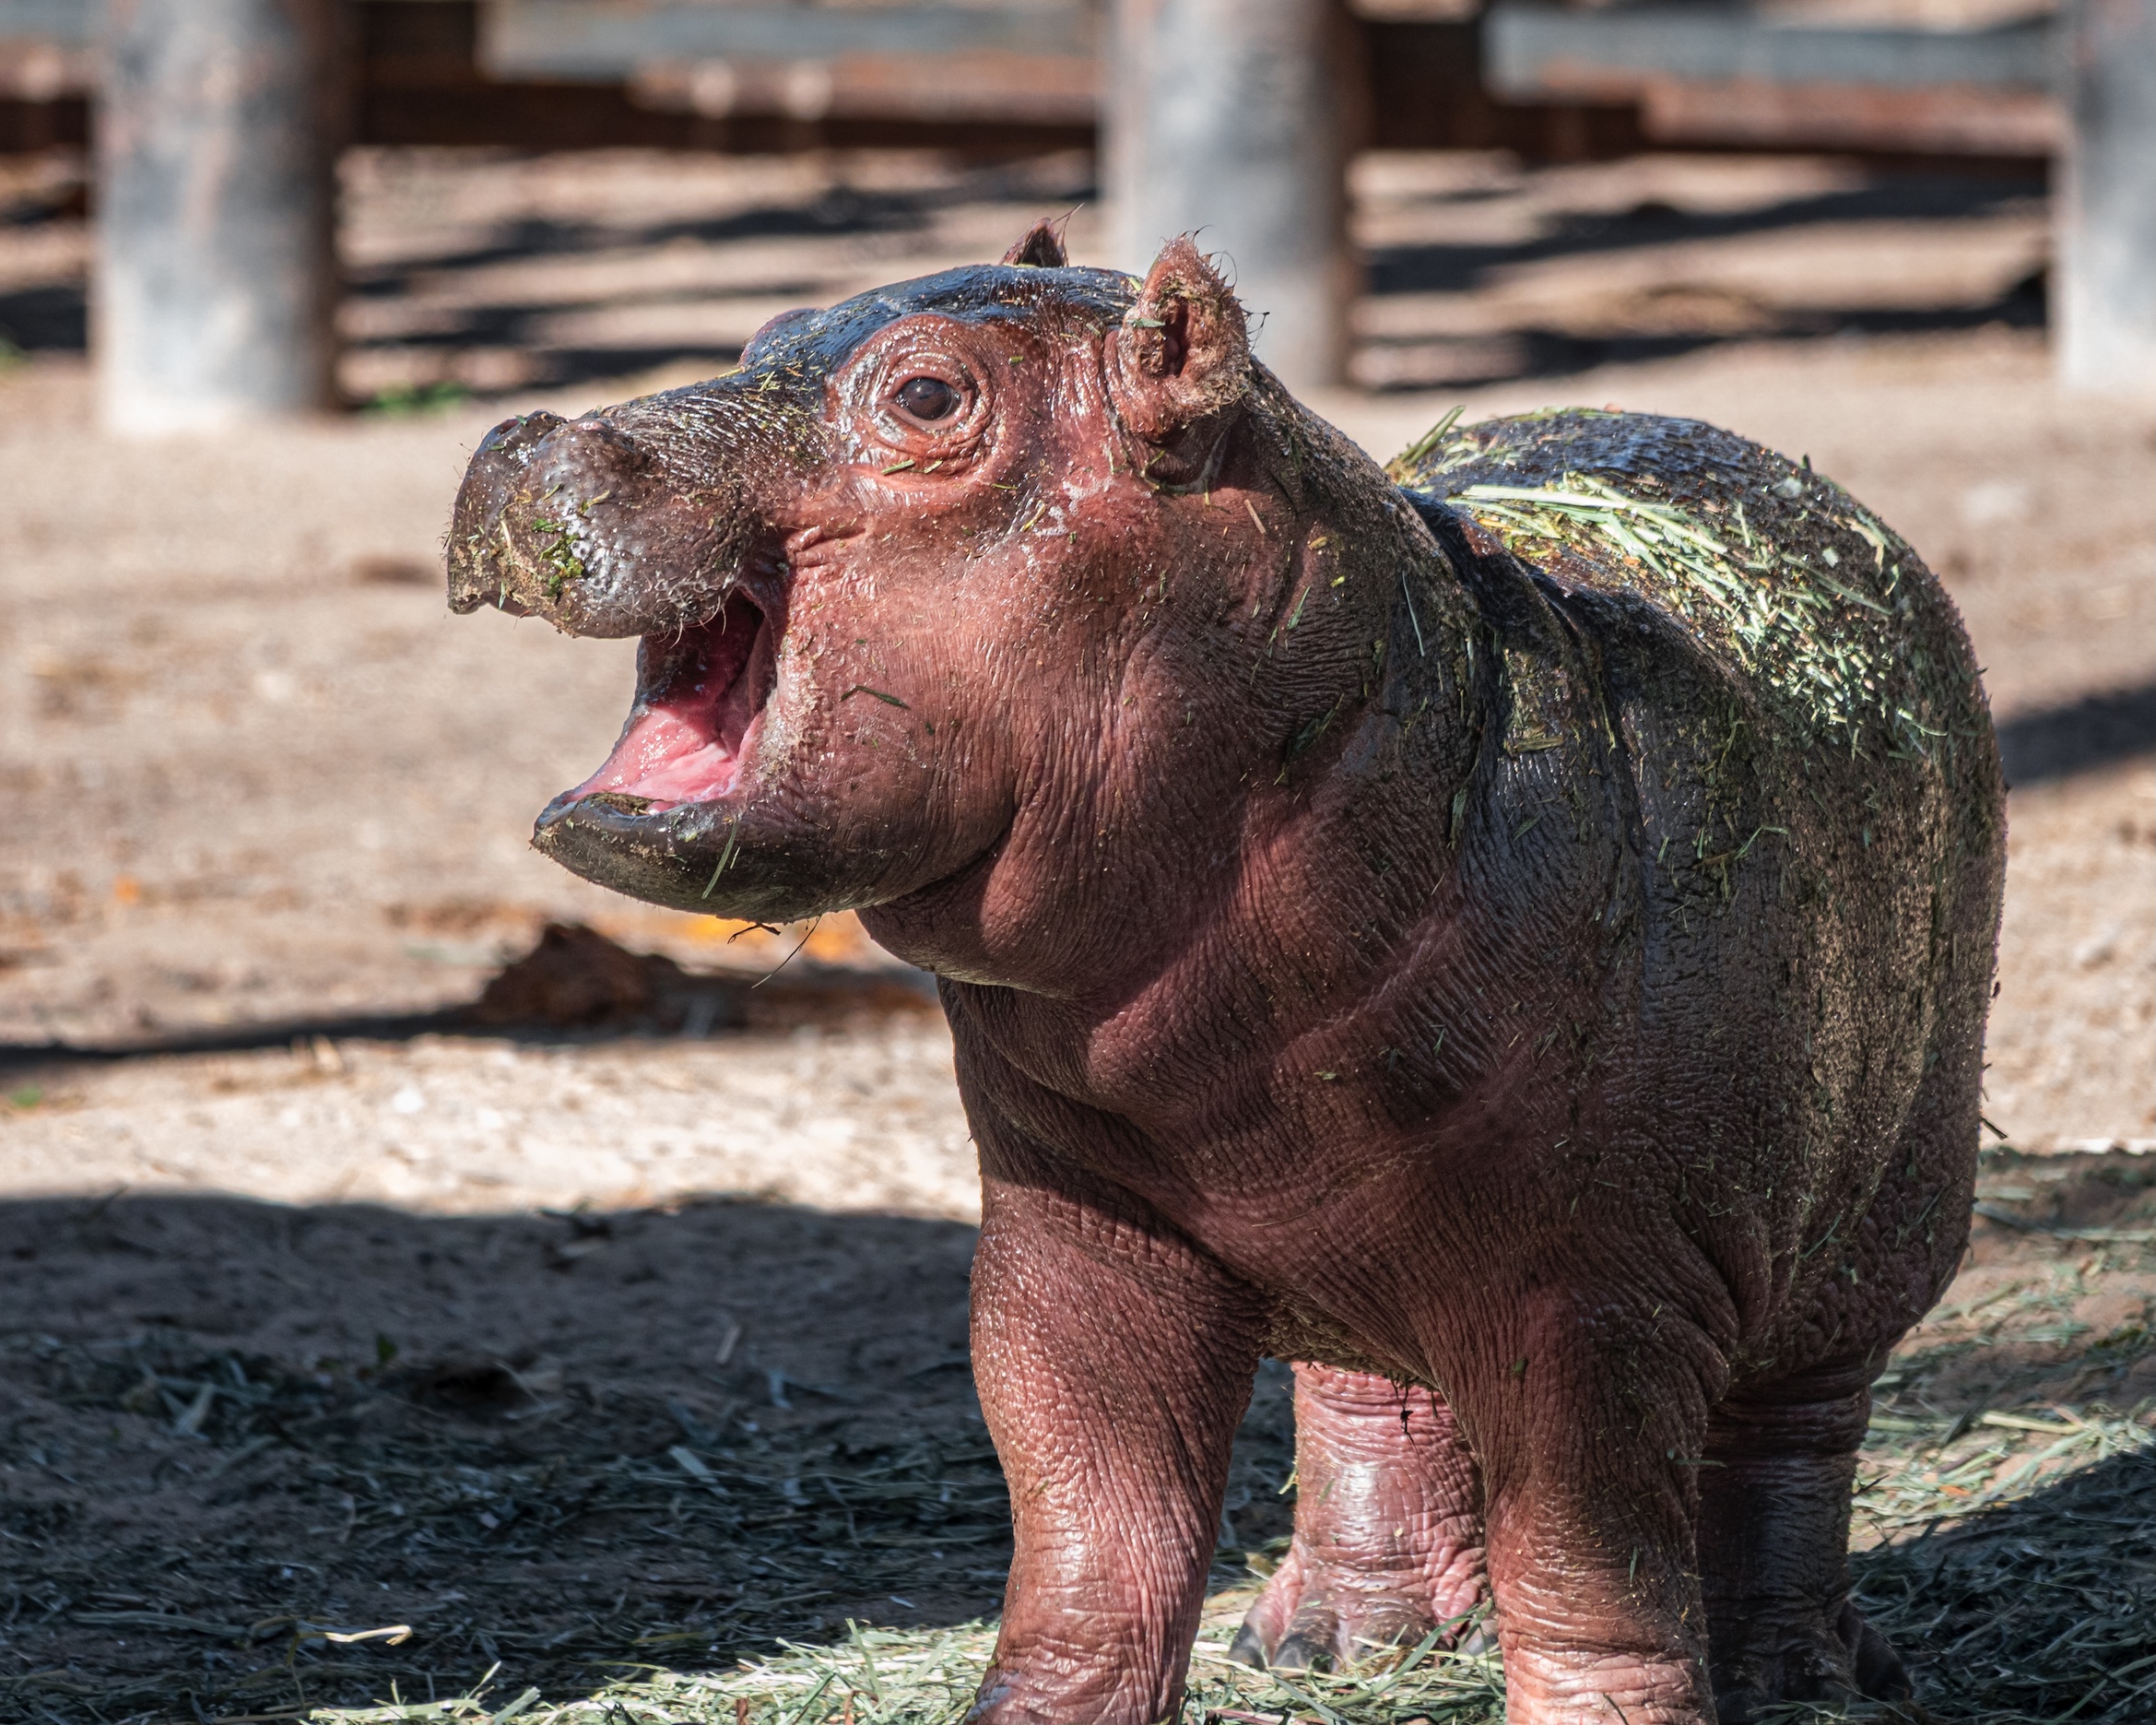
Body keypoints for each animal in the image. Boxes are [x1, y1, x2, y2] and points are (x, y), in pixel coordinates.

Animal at [447, 222, 2004, 1725]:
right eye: (769, 330)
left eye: (928, 396)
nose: (521, 437)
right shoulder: (1072, 1238)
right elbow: (1087, 1517)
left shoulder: (1602, 1290)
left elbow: (1587, 1559)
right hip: (1384, 1241)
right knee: (1365, 1393)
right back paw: (1328, 1645)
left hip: (1874, 1217)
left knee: (1793, 1433)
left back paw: (1800, 1674)